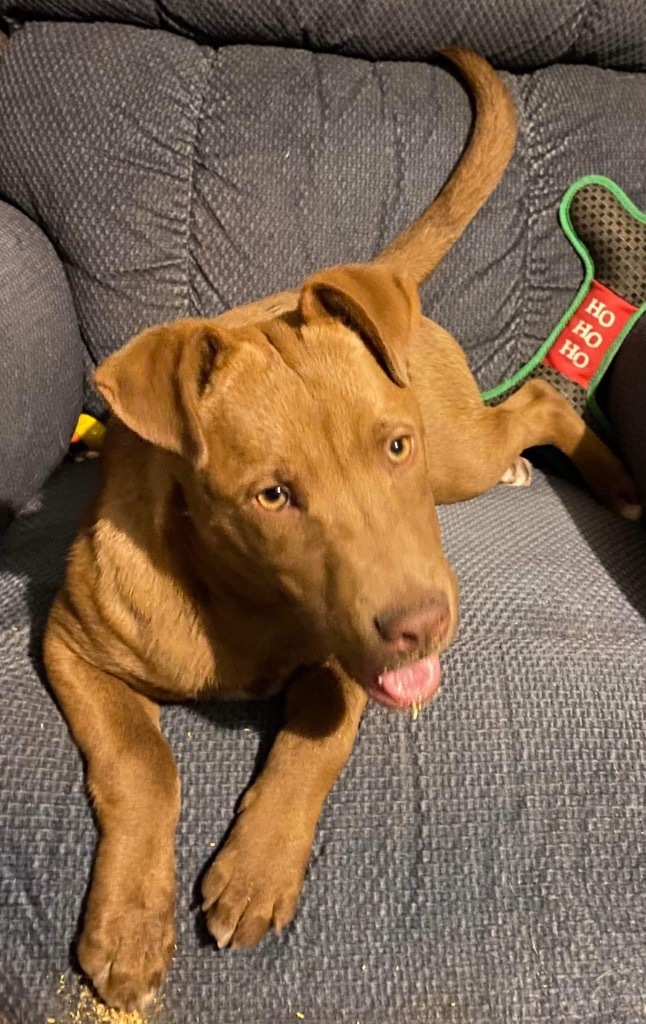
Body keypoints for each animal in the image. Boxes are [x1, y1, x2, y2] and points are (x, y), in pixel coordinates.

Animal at [42, 46, 638, 1007]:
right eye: (272, 496)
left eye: (392, 446)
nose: (422, 627)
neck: (237, 601)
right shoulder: (69, 641)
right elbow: (143, 761)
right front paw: (130, 928)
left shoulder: (351, 657)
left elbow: (318, 725)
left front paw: (255, 867)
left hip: (454, 453)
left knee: (540, 405)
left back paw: (616, 486)